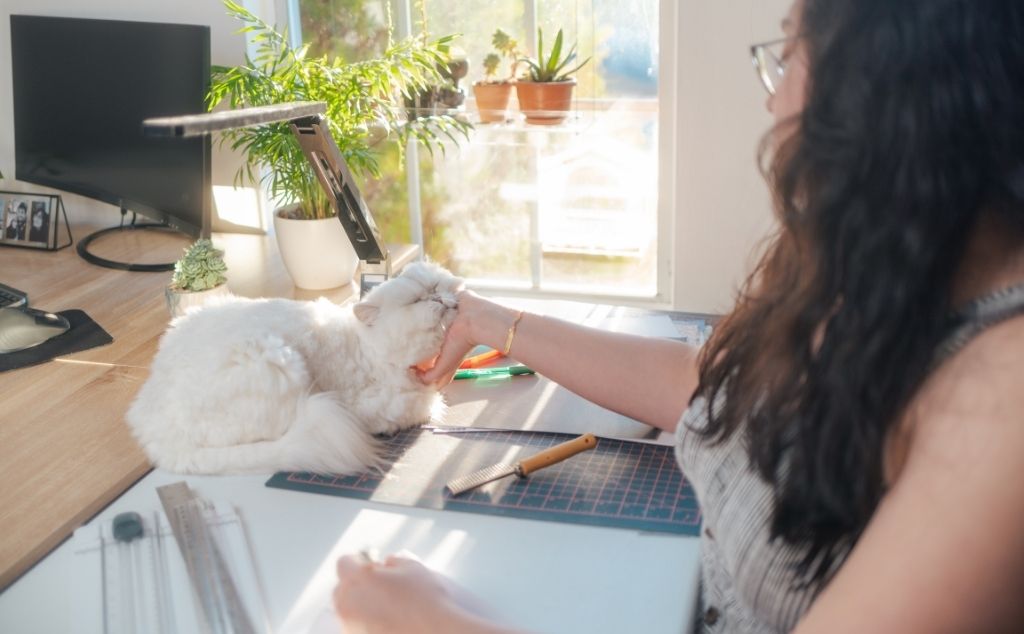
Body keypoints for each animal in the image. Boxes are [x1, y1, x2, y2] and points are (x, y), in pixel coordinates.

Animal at [125, 262, 462, 475]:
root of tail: (155, 434)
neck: (366, 347)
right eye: (416, 301)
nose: (437, 298)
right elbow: (425, 404)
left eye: (435, 285)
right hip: (279, 364)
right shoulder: (375, 403)